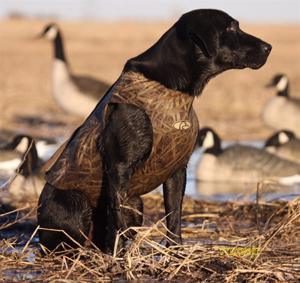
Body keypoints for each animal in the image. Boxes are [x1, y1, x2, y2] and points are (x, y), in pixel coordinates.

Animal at [37, 8, 272, 254]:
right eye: (230, 27)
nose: (268, 47)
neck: (172, 89)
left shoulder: (177, 169)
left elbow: (174, 216)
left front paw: (175, 252)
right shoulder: (118, 167)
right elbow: (115, 217)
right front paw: (117, 256)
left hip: (136, 203)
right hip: (76, 202)